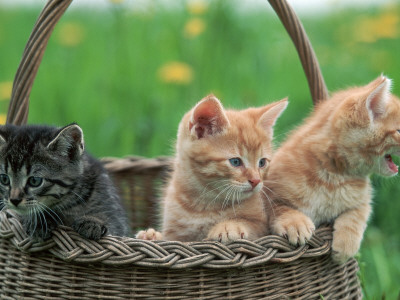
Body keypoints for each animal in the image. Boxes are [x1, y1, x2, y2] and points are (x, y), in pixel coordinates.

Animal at [0, 123, 129, 240]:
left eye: (34, 181)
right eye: (4, 179)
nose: (14, 200)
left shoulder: (118, 222)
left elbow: (113, 225)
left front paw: (93, 221)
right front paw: (39, 220)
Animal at [159, 95, 288, 243]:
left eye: (262, 162)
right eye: (235, 162)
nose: (256, 181)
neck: (205, 203)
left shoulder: (261, 227)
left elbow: (248, 223)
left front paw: (228, 227)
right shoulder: (173, 235)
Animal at [264, 76, 398, 264]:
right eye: (399, 130)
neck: (334, 178)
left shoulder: (363, 199)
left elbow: (357, 214)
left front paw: (346, 245)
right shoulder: (268, 195)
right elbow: (280, 207)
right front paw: (296, 223)